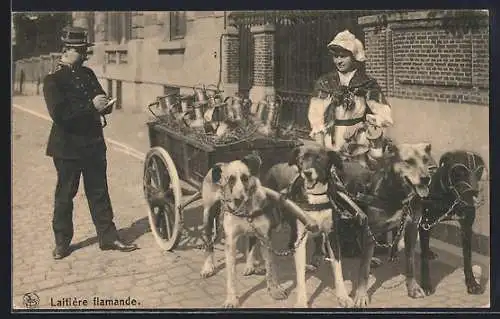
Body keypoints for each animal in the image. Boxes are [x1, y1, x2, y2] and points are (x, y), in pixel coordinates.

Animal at [198, 154, 288, 308]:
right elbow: (231, 275)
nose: (239, 199)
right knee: (209, 244)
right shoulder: (231, 242)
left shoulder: (265, 238)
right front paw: (231, 300)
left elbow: (271, 267)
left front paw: (274, 290)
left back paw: (250, 265)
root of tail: (218, 163)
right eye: (230, 180)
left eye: (245, 178)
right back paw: (208, 267)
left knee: (251, 242)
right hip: (208, 215)